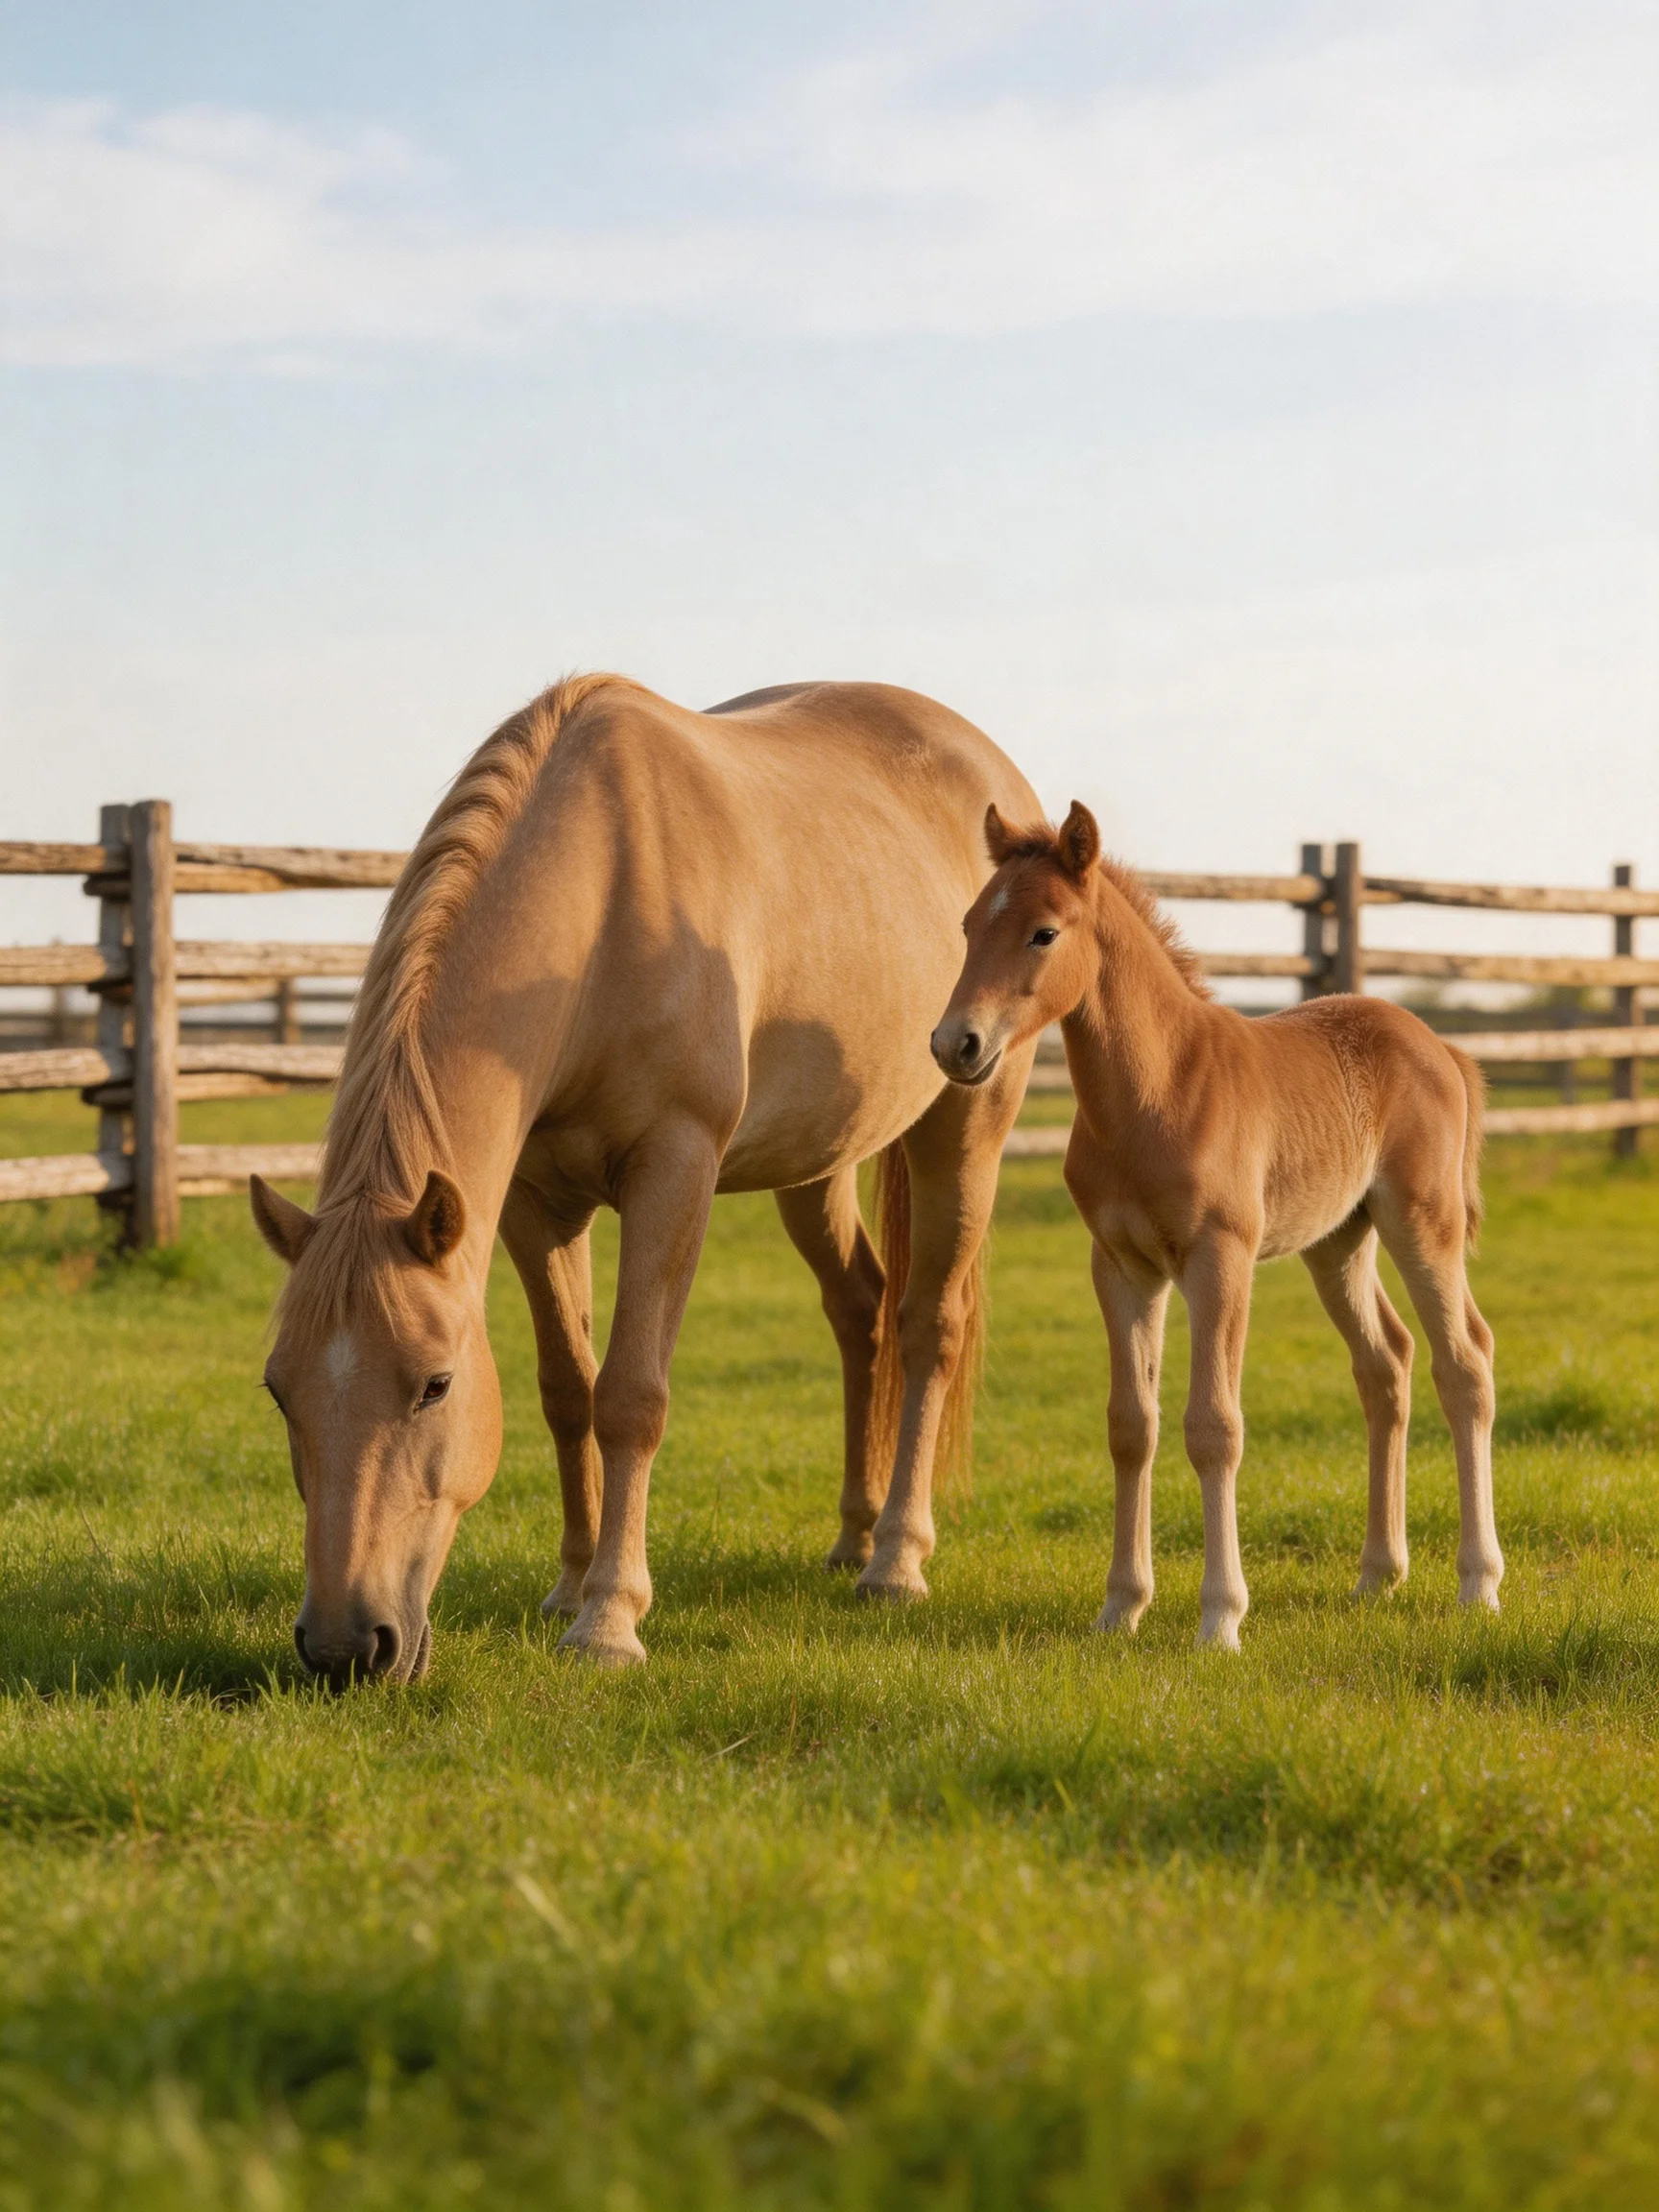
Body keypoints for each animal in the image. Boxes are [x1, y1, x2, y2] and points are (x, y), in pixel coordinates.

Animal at [249, 676, 1041, 1680]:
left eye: (435, 1385)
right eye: (279, 1388)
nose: (345, 1647)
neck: (604, 915)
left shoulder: (676, 1169)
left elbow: (630, 1395)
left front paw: (609, 1620)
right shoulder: (534, 1202)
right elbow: (567, 1390)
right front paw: (568, 1587)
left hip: (966, 1124)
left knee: (928, 1324)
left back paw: (897, 1561)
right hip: (816, 1162)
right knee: (860, 1309)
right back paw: (853, 1537)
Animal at [931, 799, 1502, 1649]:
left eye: (1043, 932)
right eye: (969, 926)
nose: (954, 1044)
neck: (1158, 1091)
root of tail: (1441, 1046)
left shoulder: (1218, 1258)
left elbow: (1214, 1427)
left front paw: (1220, 1618)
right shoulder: (1121, 1265)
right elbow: (1131, 1424)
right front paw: (1120, 1608)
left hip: (1421, 1224)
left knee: (1463, 1362)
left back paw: (1478, 1584)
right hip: (1338, 1242)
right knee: (1387, 1364)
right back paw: (1378, 1574)